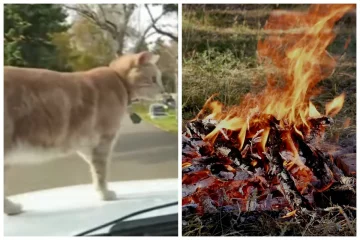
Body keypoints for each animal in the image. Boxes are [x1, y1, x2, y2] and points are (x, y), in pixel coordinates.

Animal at [3, 51, 164, 216]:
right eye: (154, 79)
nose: (163, 91)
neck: (119, 79)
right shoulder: (103, 142)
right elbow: (101, 172)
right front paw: (104, 194)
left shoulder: (85, 145)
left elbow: (94, 168)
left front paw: (99, 190)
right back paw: (12, 208)